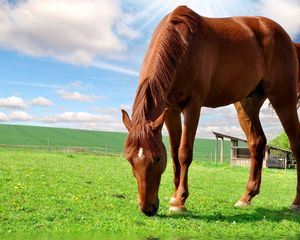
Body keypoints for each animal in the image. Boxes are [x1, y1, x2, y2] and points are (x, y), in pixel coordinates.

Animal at [120, 5, 298, 217]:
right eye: (129, 159)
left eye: (157, 158)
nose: (147, 208)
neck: (183, 44)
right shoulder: (170, 110)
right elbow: (174, 153)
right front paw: (174, 196)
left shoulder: (193, 106)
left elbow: (184, 153)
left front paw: (180, 201)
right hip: (247, 103)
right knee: (257, 143)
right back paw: (246, 197)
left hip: (283, 100)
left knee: (296, 145)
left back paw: (296, 202)